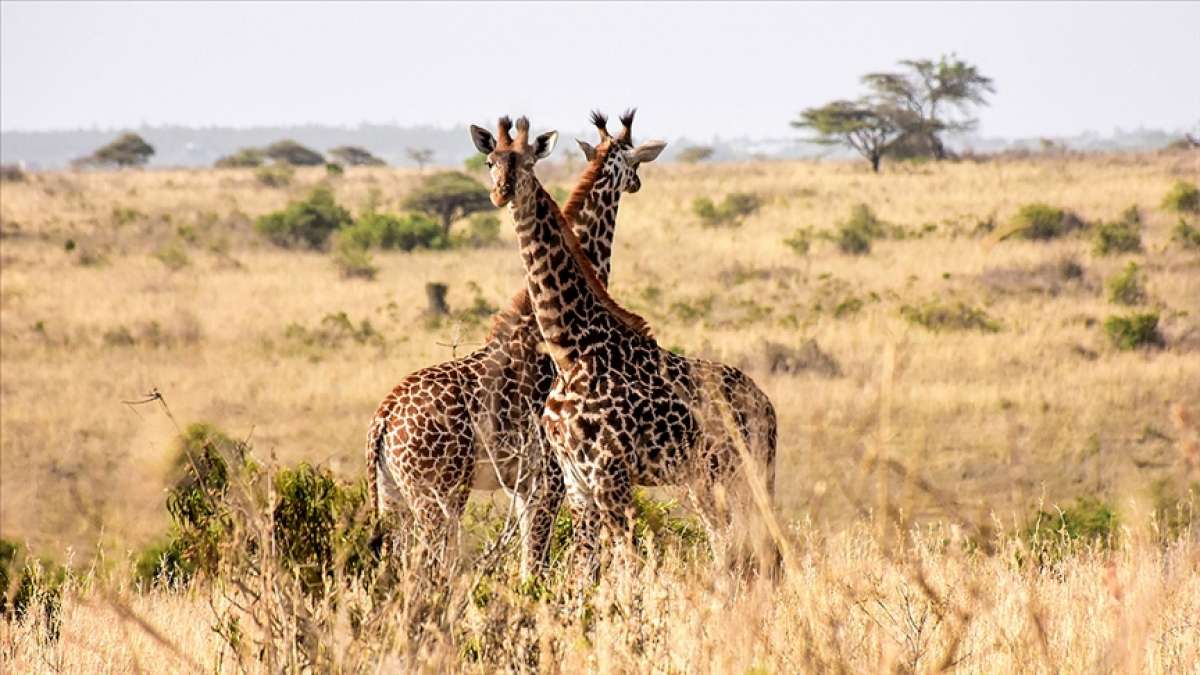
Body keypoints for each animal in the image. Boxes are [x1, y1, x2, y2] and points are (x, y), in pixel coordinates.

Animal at [367, 110, 777, 578]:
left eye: (527, 163)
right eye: (489, 161)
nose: (501, 192)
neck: (572, 348)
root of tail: (382, 419)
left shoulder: (556, 481)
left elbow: (568, 565)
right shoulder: (556, 478)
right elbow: (561, 566)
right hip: (431, 493)